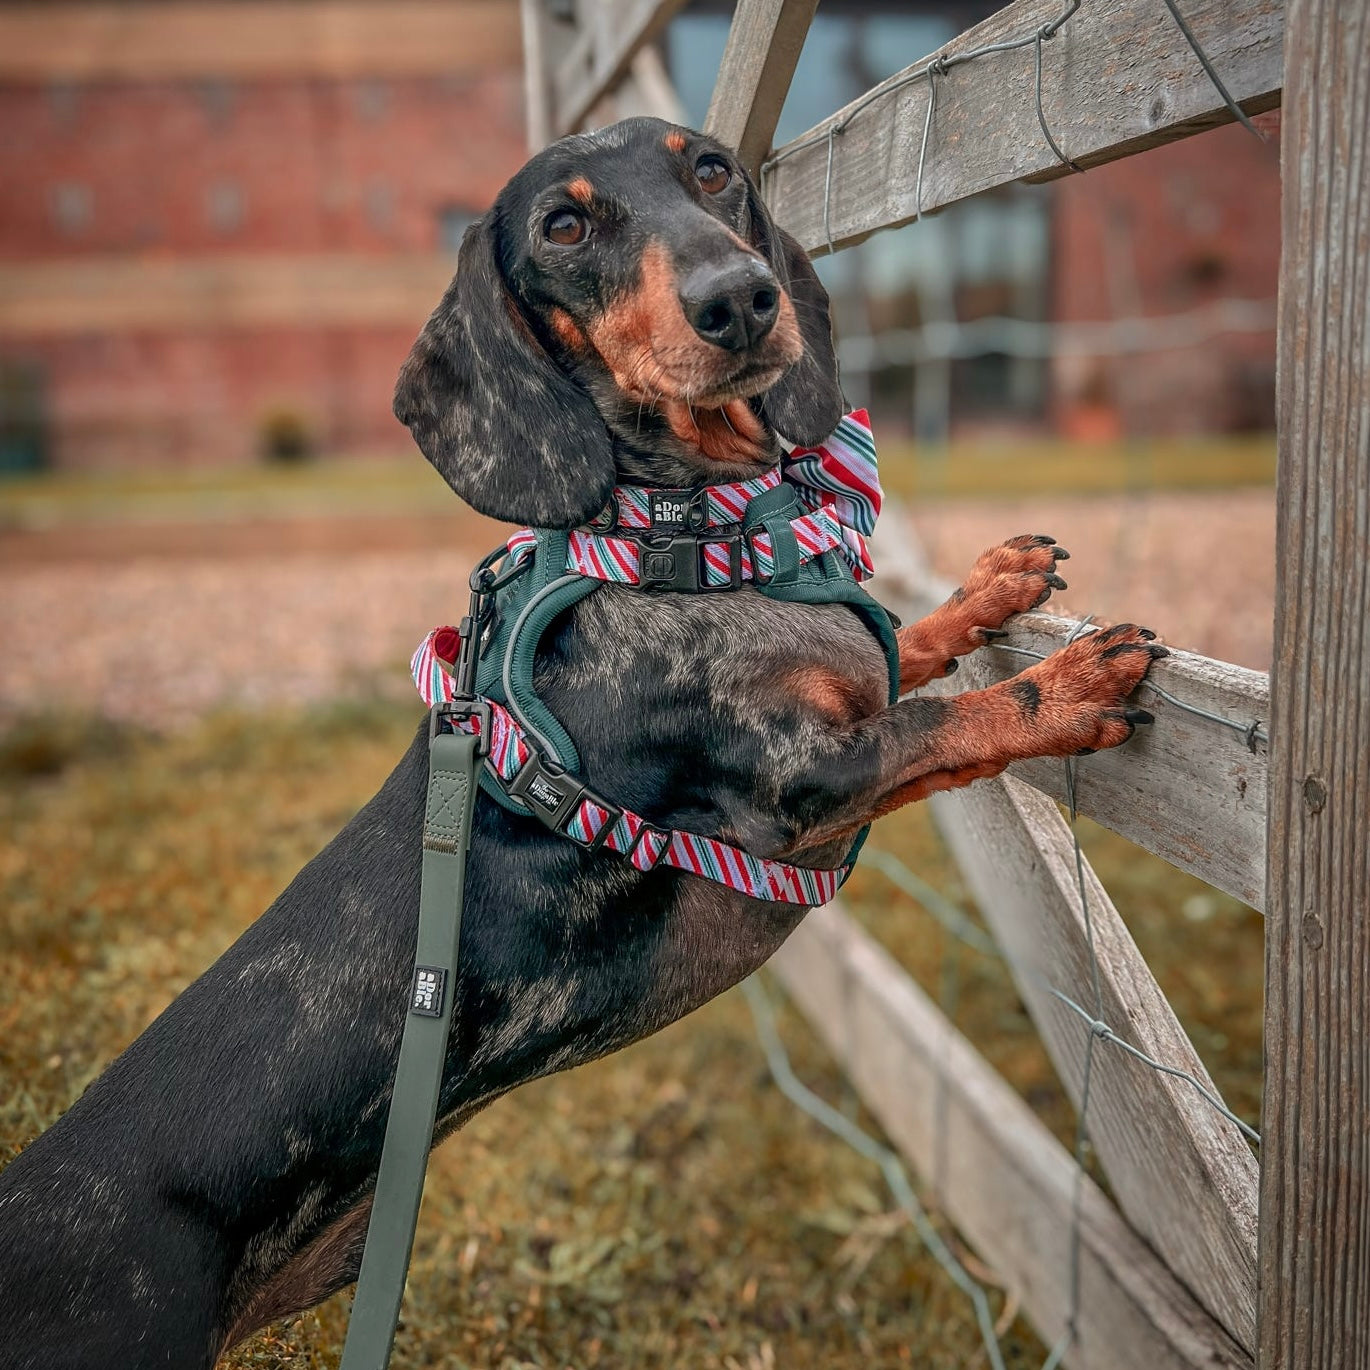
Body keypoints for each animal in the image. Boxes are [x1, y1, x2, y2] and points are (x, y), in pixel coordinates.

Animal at [0, 120, 1161, 1370]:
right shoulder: (798, 778)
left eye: (711, 169)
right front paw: (1069, 682)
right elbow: (935, 718)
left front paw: (991, 584)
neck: (683, 542)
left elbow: (906, 647)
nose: (740, 298)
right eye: (561, 224)